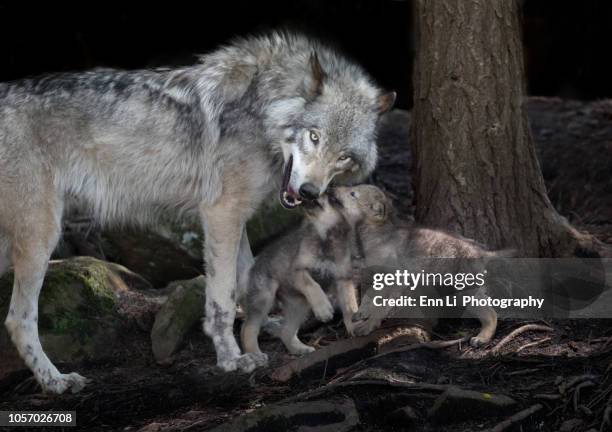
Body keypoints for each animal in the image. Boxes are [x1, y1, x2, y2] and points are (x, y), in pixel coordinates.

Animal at [241, 194, 358, 360]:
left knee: (286, 332)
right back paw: (255, 354)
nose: (307, 193)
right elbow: (313, 285)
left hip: (299, 305)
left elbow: (349, 306)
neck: (325, 239)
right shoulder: (297, 270)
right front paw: (323, 309)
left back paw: (299, 349)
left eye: (332, 197)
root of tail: (256, 262)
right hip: (264, 298)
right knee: (247, 328)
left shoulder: (343, 280)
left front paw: (355, 325)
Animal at [330, 184, 512, 346]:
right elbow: (371, 299)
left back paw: (482, 338)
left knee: (491, 314)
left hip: (465, 291)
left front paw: (366, 322)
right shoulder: (370, 276)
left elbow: (377, 302)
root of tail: (481, 252)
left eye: (353, 193)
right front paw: (363, 318)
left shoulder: (394, 277)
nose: (332, 188)